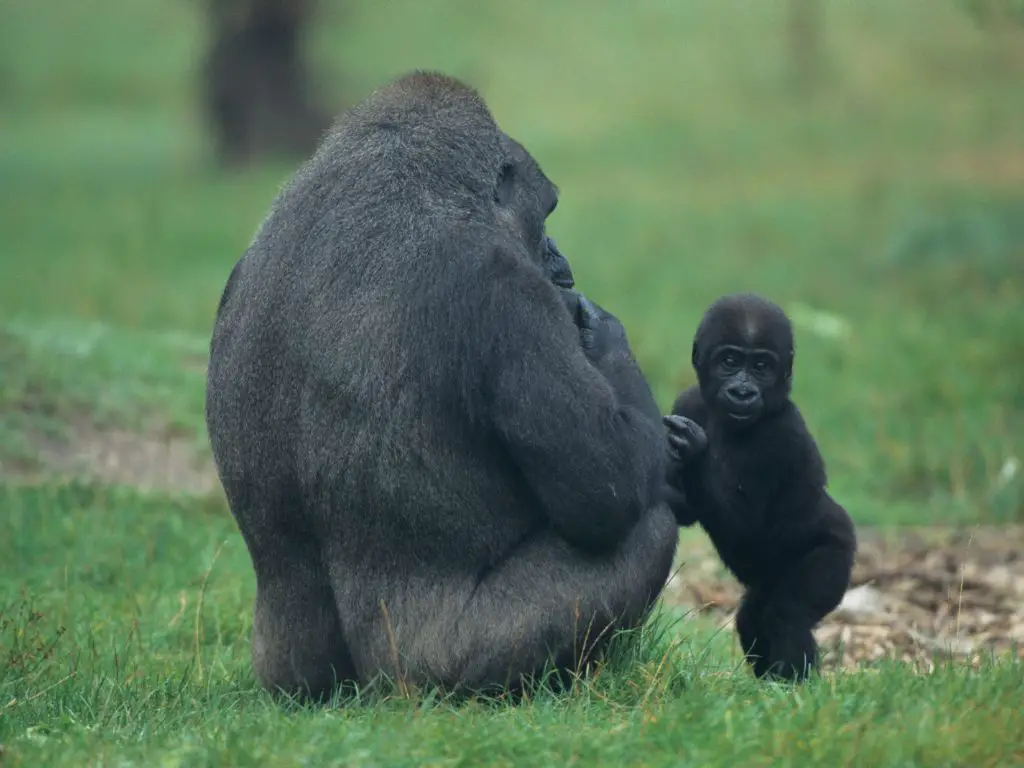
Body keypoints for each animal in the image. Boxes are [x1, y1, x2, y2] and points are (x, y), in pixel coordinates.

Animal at [202, 69, 675, 700]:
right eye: (546, 212)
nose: (560, 261)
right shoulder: (508, 291)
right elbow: (608, 490)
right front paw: (606, 335)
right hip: (434, 680)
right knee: (651, 528)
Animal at [663, 290, 856, 684]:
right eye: (730, 361)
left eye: (762, 367)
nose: (742, 391)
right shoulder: (689, 400)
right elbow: (688, 510)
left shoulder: (781, 437)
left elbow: (748, 529)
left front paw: (694, 452)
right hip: (768, 581)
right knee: (752, 616)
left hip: (836, 553)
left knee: (787, 614)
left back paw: (789, 685)